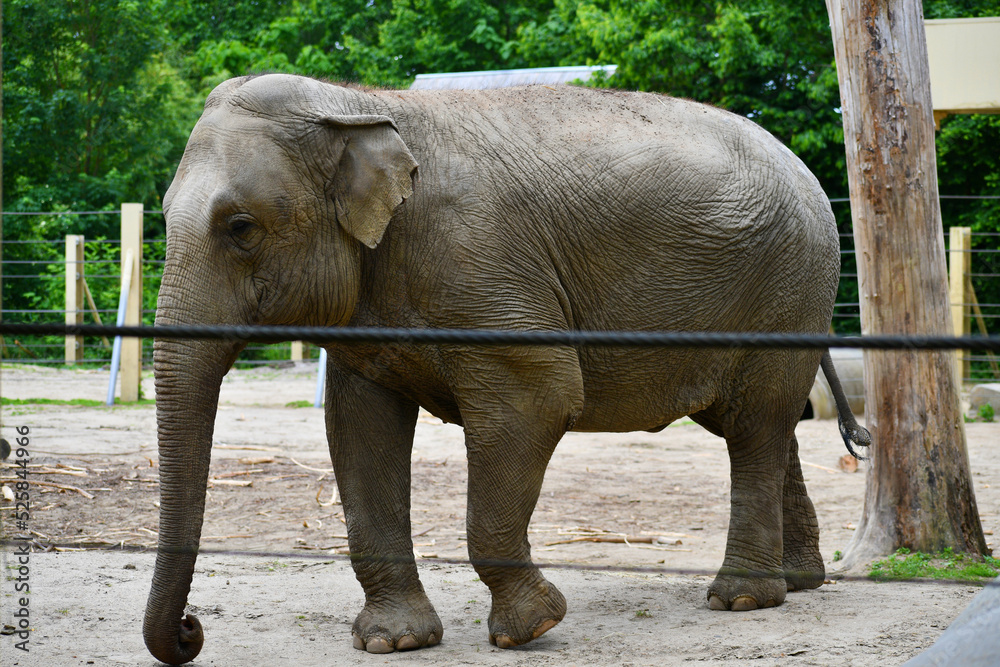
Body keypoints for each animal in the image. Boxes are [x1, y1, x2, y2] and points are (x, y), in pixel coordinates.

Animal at [144, 72, 870, 664]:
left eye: (240, 226)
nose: (191, 629)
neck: (356, 103)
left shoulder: (485, 268)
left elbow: (539, 398)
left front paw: (532, 626)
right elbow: (359, 429)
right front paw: (394, 641)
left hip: (790, 283)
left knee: (755, 422)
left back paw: (741, 598)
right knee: (762, 425)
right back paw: (796, 582)